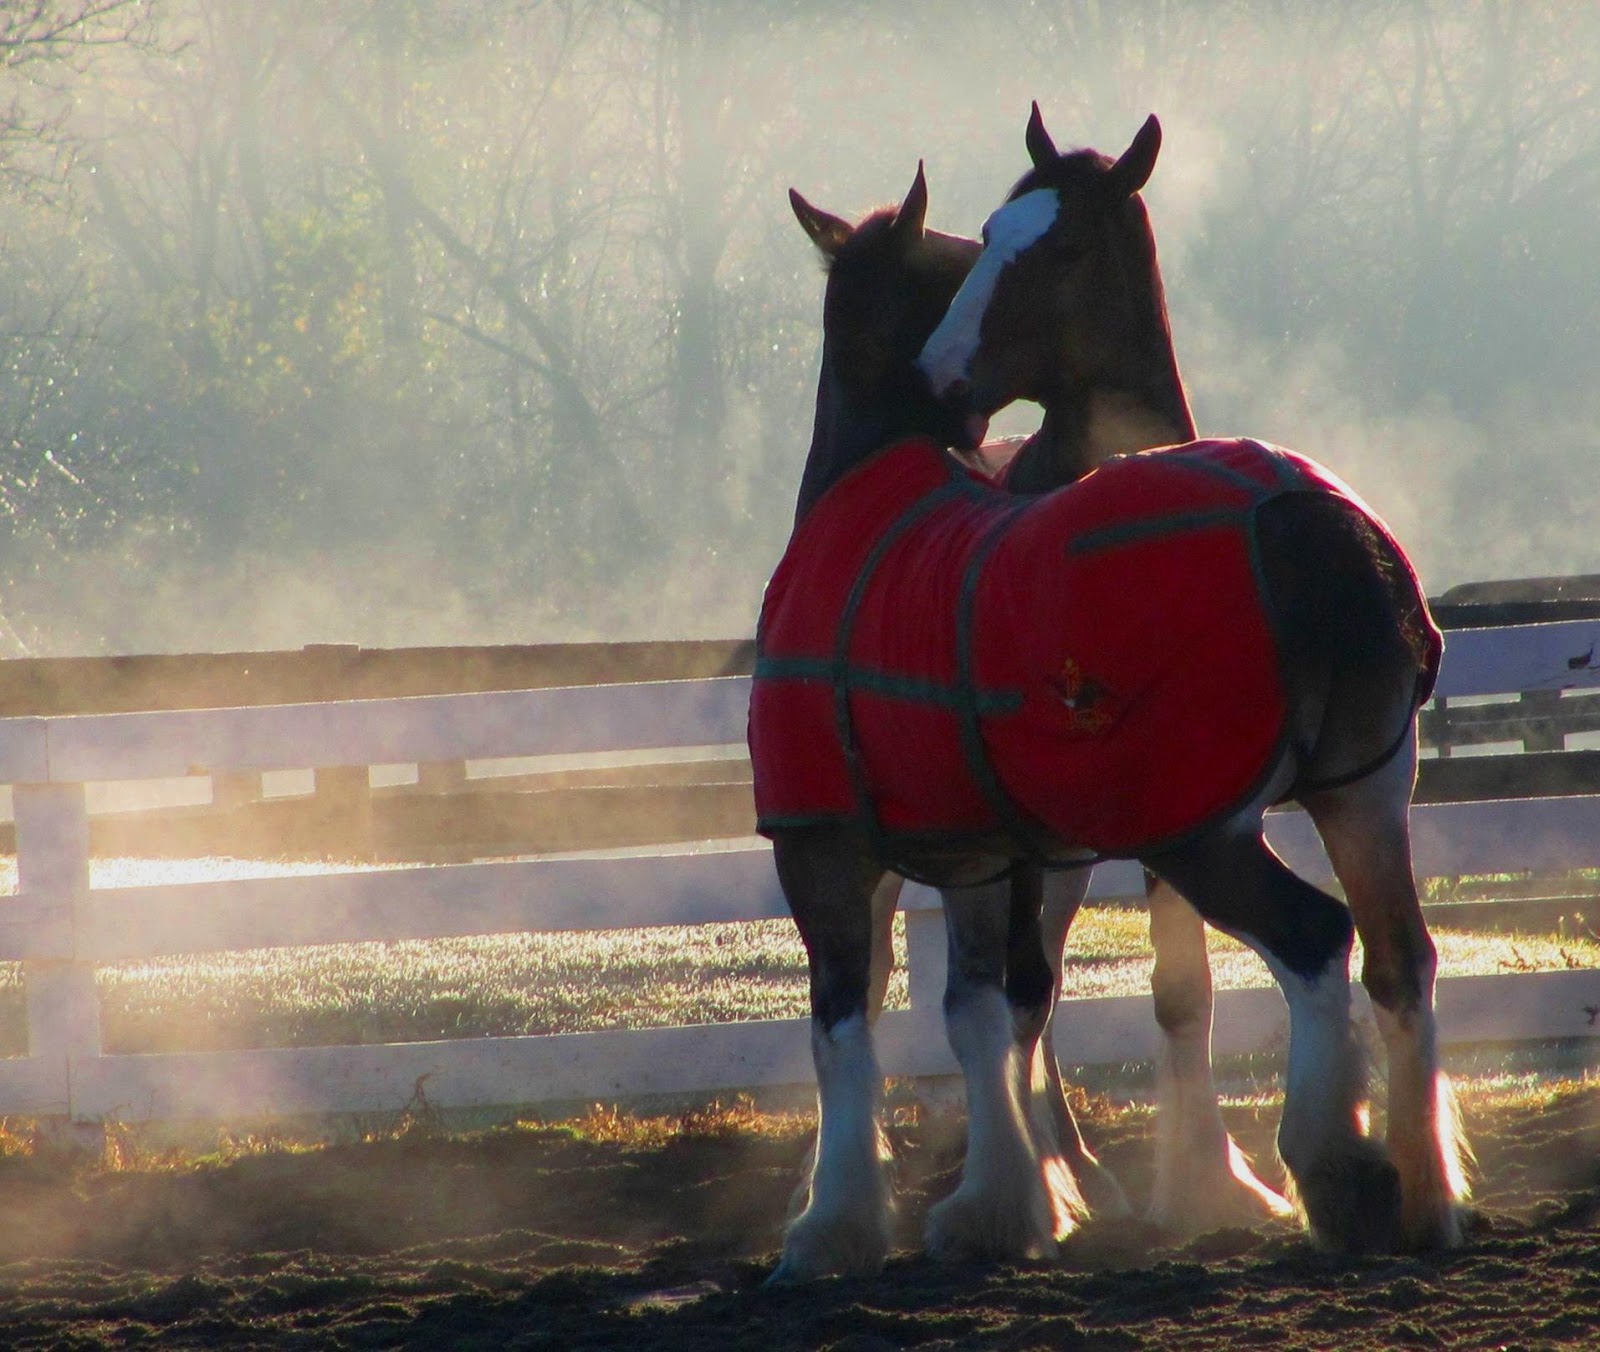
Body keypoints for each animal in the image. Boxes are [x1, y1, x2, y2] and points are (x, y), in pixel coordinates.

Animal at [912, 105, 1472, 1256]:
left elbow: (1179, 990)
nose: (938, 380)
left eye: (1061, 249)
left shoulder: (1176, 829)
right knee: (1026, 993)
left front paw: (1205, 1185)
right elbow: (1044, 994)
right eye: (983, 232)